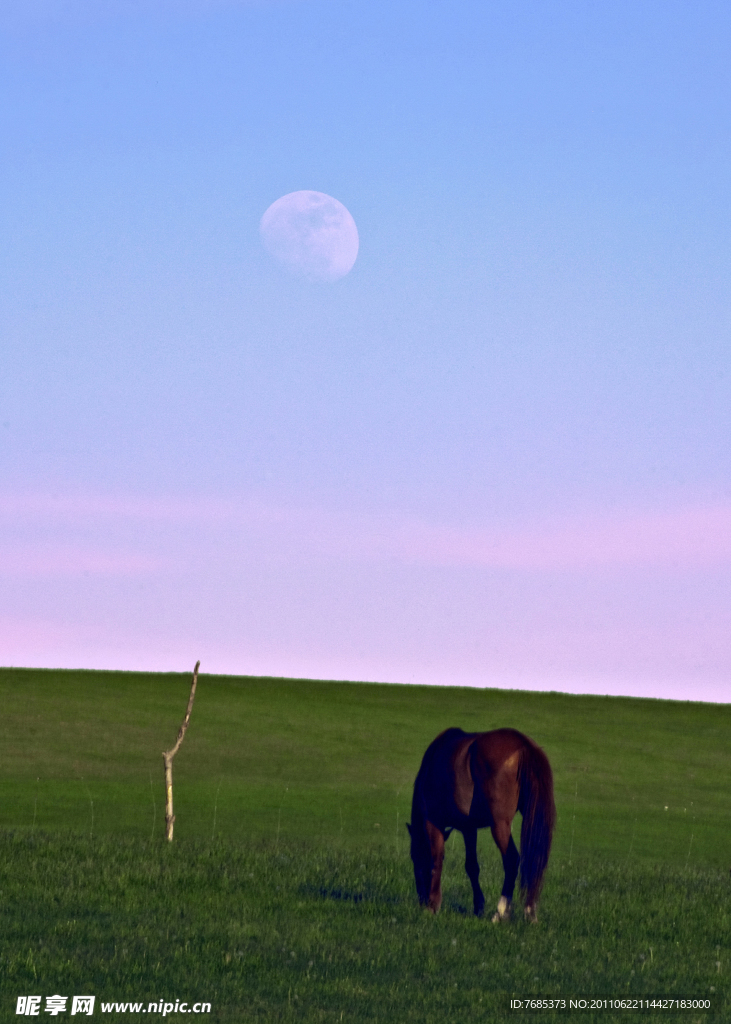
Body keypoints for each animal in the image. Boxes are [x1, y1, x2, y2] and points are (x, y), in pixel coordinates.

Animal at [407, 724, 556, 925]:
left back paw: (501, 912)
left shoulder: (434, 822)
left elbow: (436, 860)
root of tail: (524, 744)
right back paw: (529, 912)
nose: (421, 899)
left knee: (512, 859)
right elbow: (472, 866)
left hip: (499, 825)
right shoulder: (468, 828)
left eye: (414, 856)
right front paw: (478, 906)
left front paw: (433, 904)